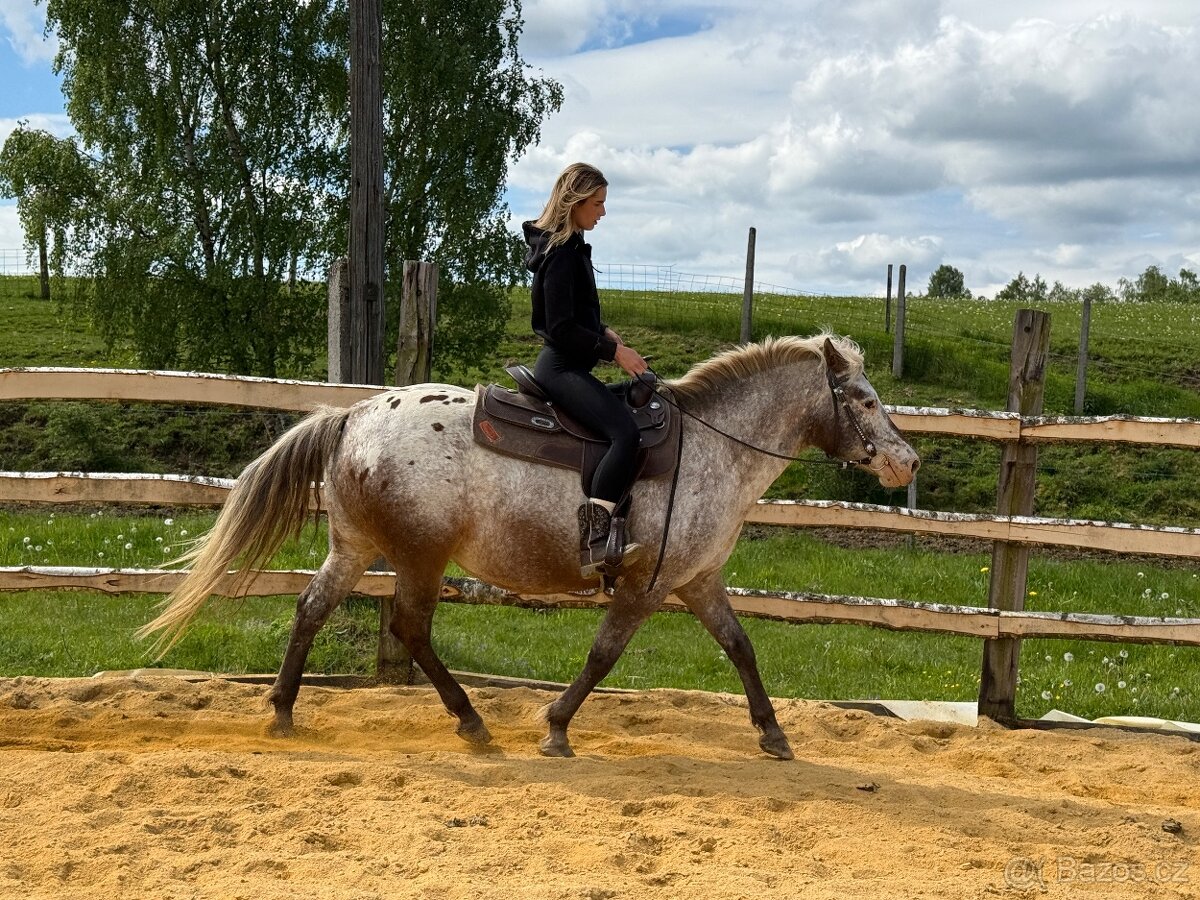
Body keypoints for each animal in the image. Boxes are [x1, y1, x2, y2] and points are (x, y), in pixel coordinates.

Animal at [139, 334, 919, 759]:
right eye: (866, 399)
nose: (906, 461)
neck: (712, 449)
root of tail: (354, 415)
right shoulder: (647, 584)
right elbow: (603, 656)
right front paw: (555, 727)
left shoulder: (697, 581)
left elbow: (742, 649)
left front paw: (774, 735)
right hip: (420, 556)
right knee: (409, 627)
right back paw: (472, 721)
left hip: (356, 547)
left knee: (311, 610)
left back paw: (282, 711)